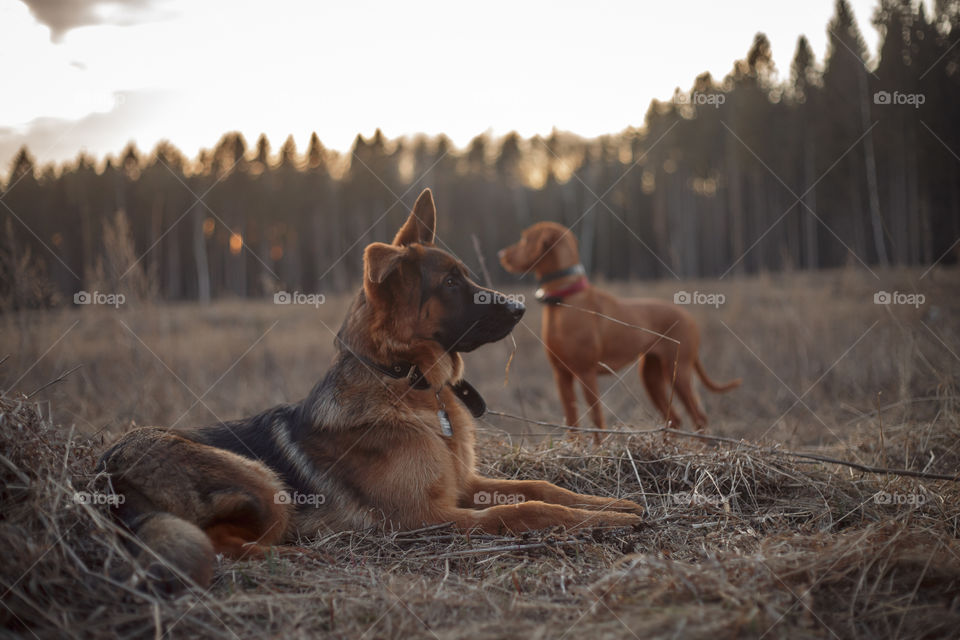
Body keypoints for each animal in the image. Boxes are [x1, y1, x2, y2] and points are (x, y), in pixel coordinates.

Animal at [97, 189, 640, 592]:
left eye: (465, 275)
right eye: (450, 283)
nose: (521, 307)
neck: (410, 383)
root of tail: (106, 469)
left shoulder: (461, 486)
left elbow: (540, 487)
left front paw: (609, 505)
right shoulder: (425, 516)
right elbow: (526, 510)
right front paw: (601, 522)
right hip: (261, 481)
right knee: (224, 546)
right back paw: (307, 560)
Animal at [498, 221, 740, 440]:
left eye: (524, 239)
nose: (501, 254)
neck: (564, 299)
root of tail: (689, 317)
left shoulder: (586, 373)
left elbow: (596, 419)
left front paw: (599, 450)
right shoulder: (561, 375)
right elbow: (572, 423)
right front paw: (575, 450)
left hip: (678, 372)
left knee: (699, 418)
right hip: (651, 375)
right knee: (675, 418)